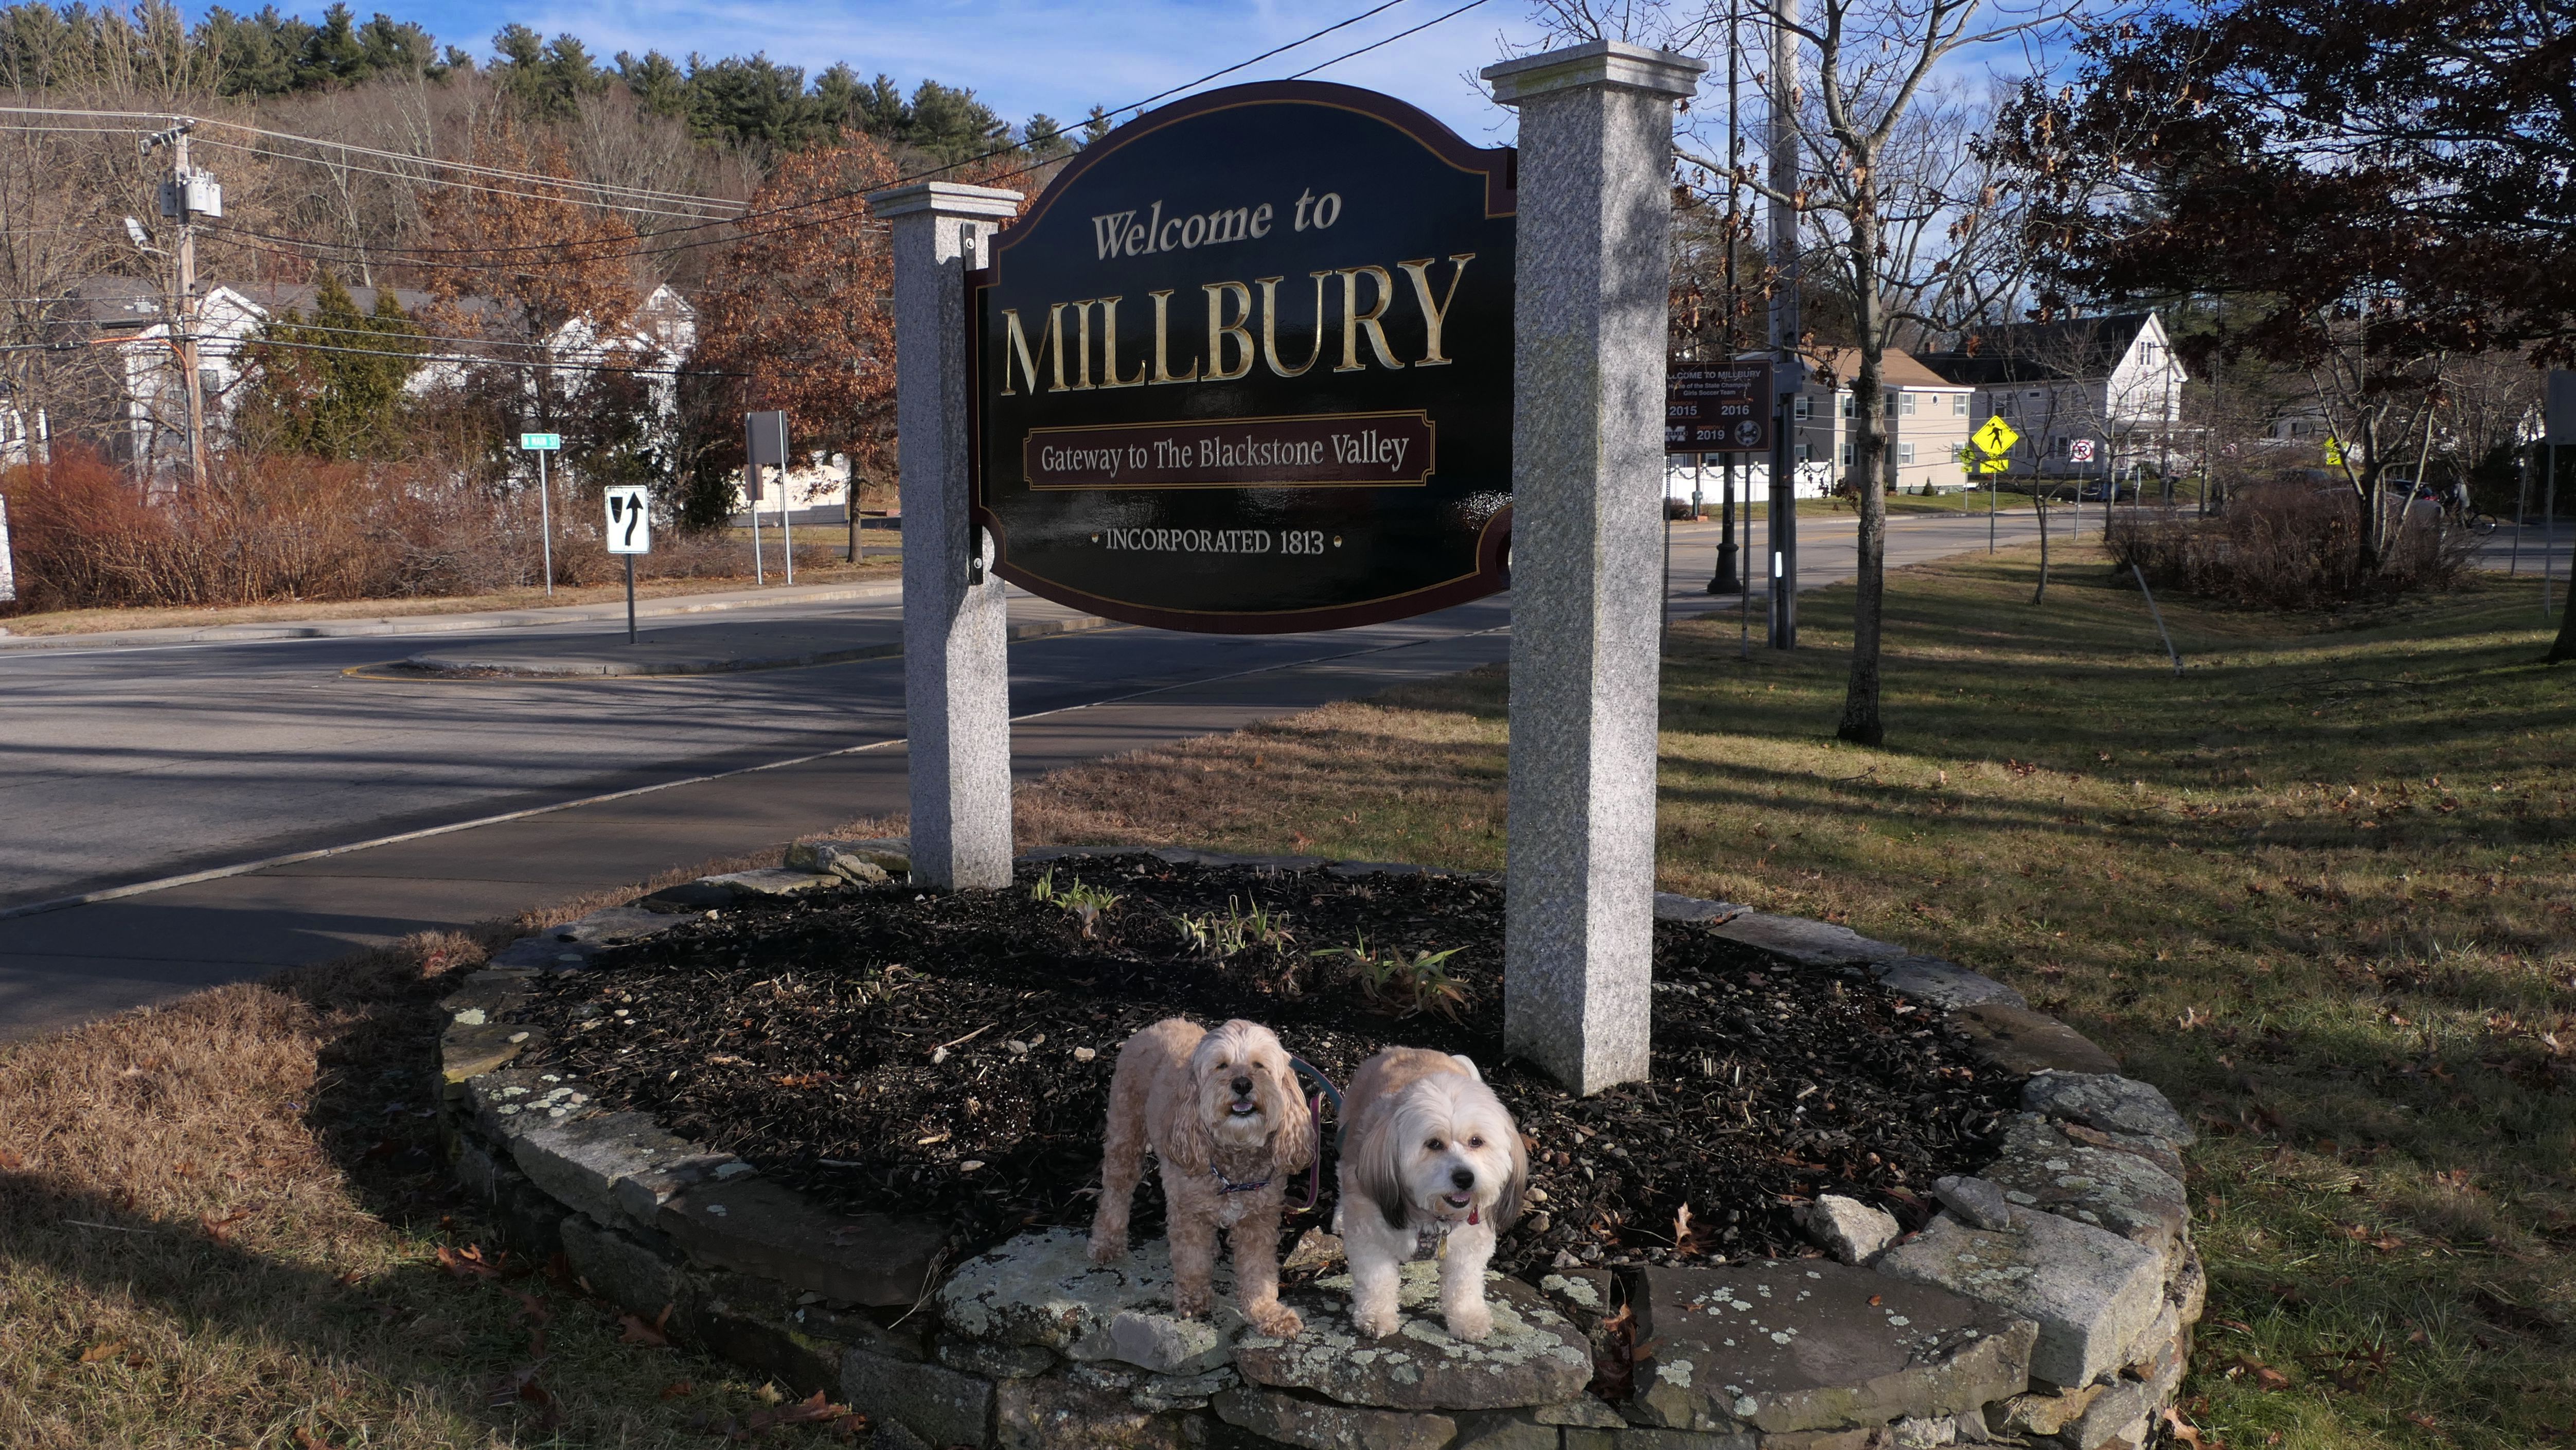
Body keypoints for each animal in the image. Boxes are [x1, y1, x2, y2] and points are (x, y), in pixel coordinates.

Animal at [1089, 1017, 1314, 1337]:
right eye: (1221, 1066)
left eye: (1259, 1065)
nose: (1242, 1084)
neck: (1234, 1163)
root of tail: (1162, 1022)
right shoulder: (1188, 1213)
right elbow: (1192, 1260)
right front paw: (1194, 1299)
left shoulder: (1260, 1221)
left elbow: (1258, 1271)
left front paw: (1268, 1314)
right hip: (1126, 1134)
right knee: (1116, 1192)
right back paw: (1107, 1242)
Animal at [1335, 1047, 1527, 1342]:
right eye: (1434, 1144)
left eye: (1476, 1141)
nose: (1465, 1177)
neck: (1432, 1218)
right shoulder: (1369, 1239)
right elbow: (1376, 1280)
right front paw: (1377, 1316)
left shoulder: (1470, 1247)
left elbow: (1464, 1283)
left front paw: (1467, 1318)